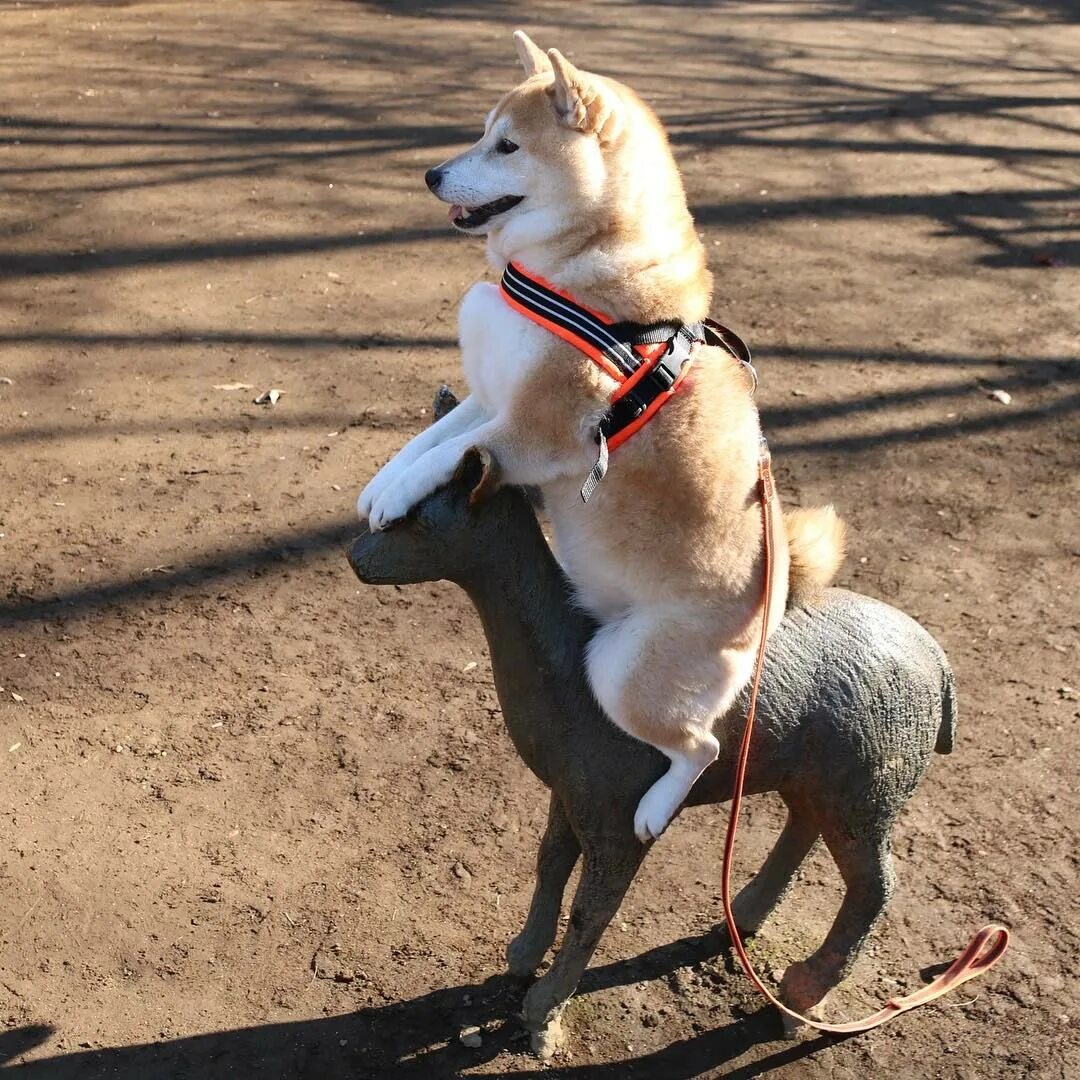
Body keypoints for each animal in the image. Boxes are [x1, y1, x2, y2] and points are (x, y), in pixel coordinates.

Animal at [354, 31, 842, 842]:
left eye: (507, 145)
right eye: (482, 132)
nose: (430, 174)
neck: (565, 273)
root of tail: (767, 617)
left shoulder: (535, 430)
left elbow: (447, 455)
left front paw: (394, 499)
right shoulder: (490, 397)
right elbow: (429, 445)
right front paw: (381, 484)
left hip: (618, 674)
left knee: (705, 748)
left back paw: (653, 809)